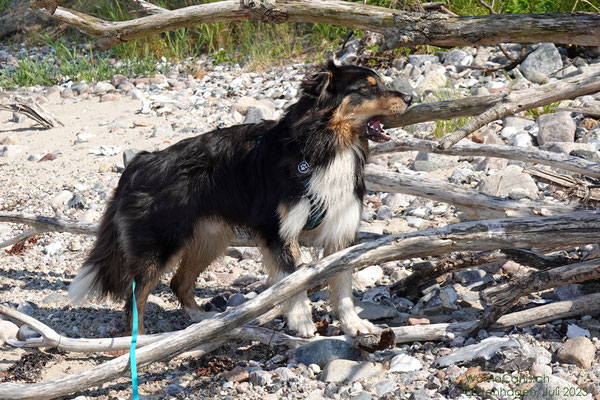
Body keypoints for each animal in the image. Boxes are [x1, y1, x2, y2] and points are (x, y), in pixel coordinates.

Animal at [68, 61, 410, 338]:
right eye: (369, 87)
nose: (409, 99)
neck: (324, 145)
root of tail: (140, 162)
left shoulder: (340, 232)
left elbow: (342, 285)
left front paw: (353, 324)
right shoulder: (279, 233)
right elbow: (294, 281)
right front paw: (301, 322)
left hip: (210, 238)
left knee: (179, 282)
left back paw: (199, 320)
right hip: (159, 246)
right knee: (135, 297)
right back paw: (139, 341)